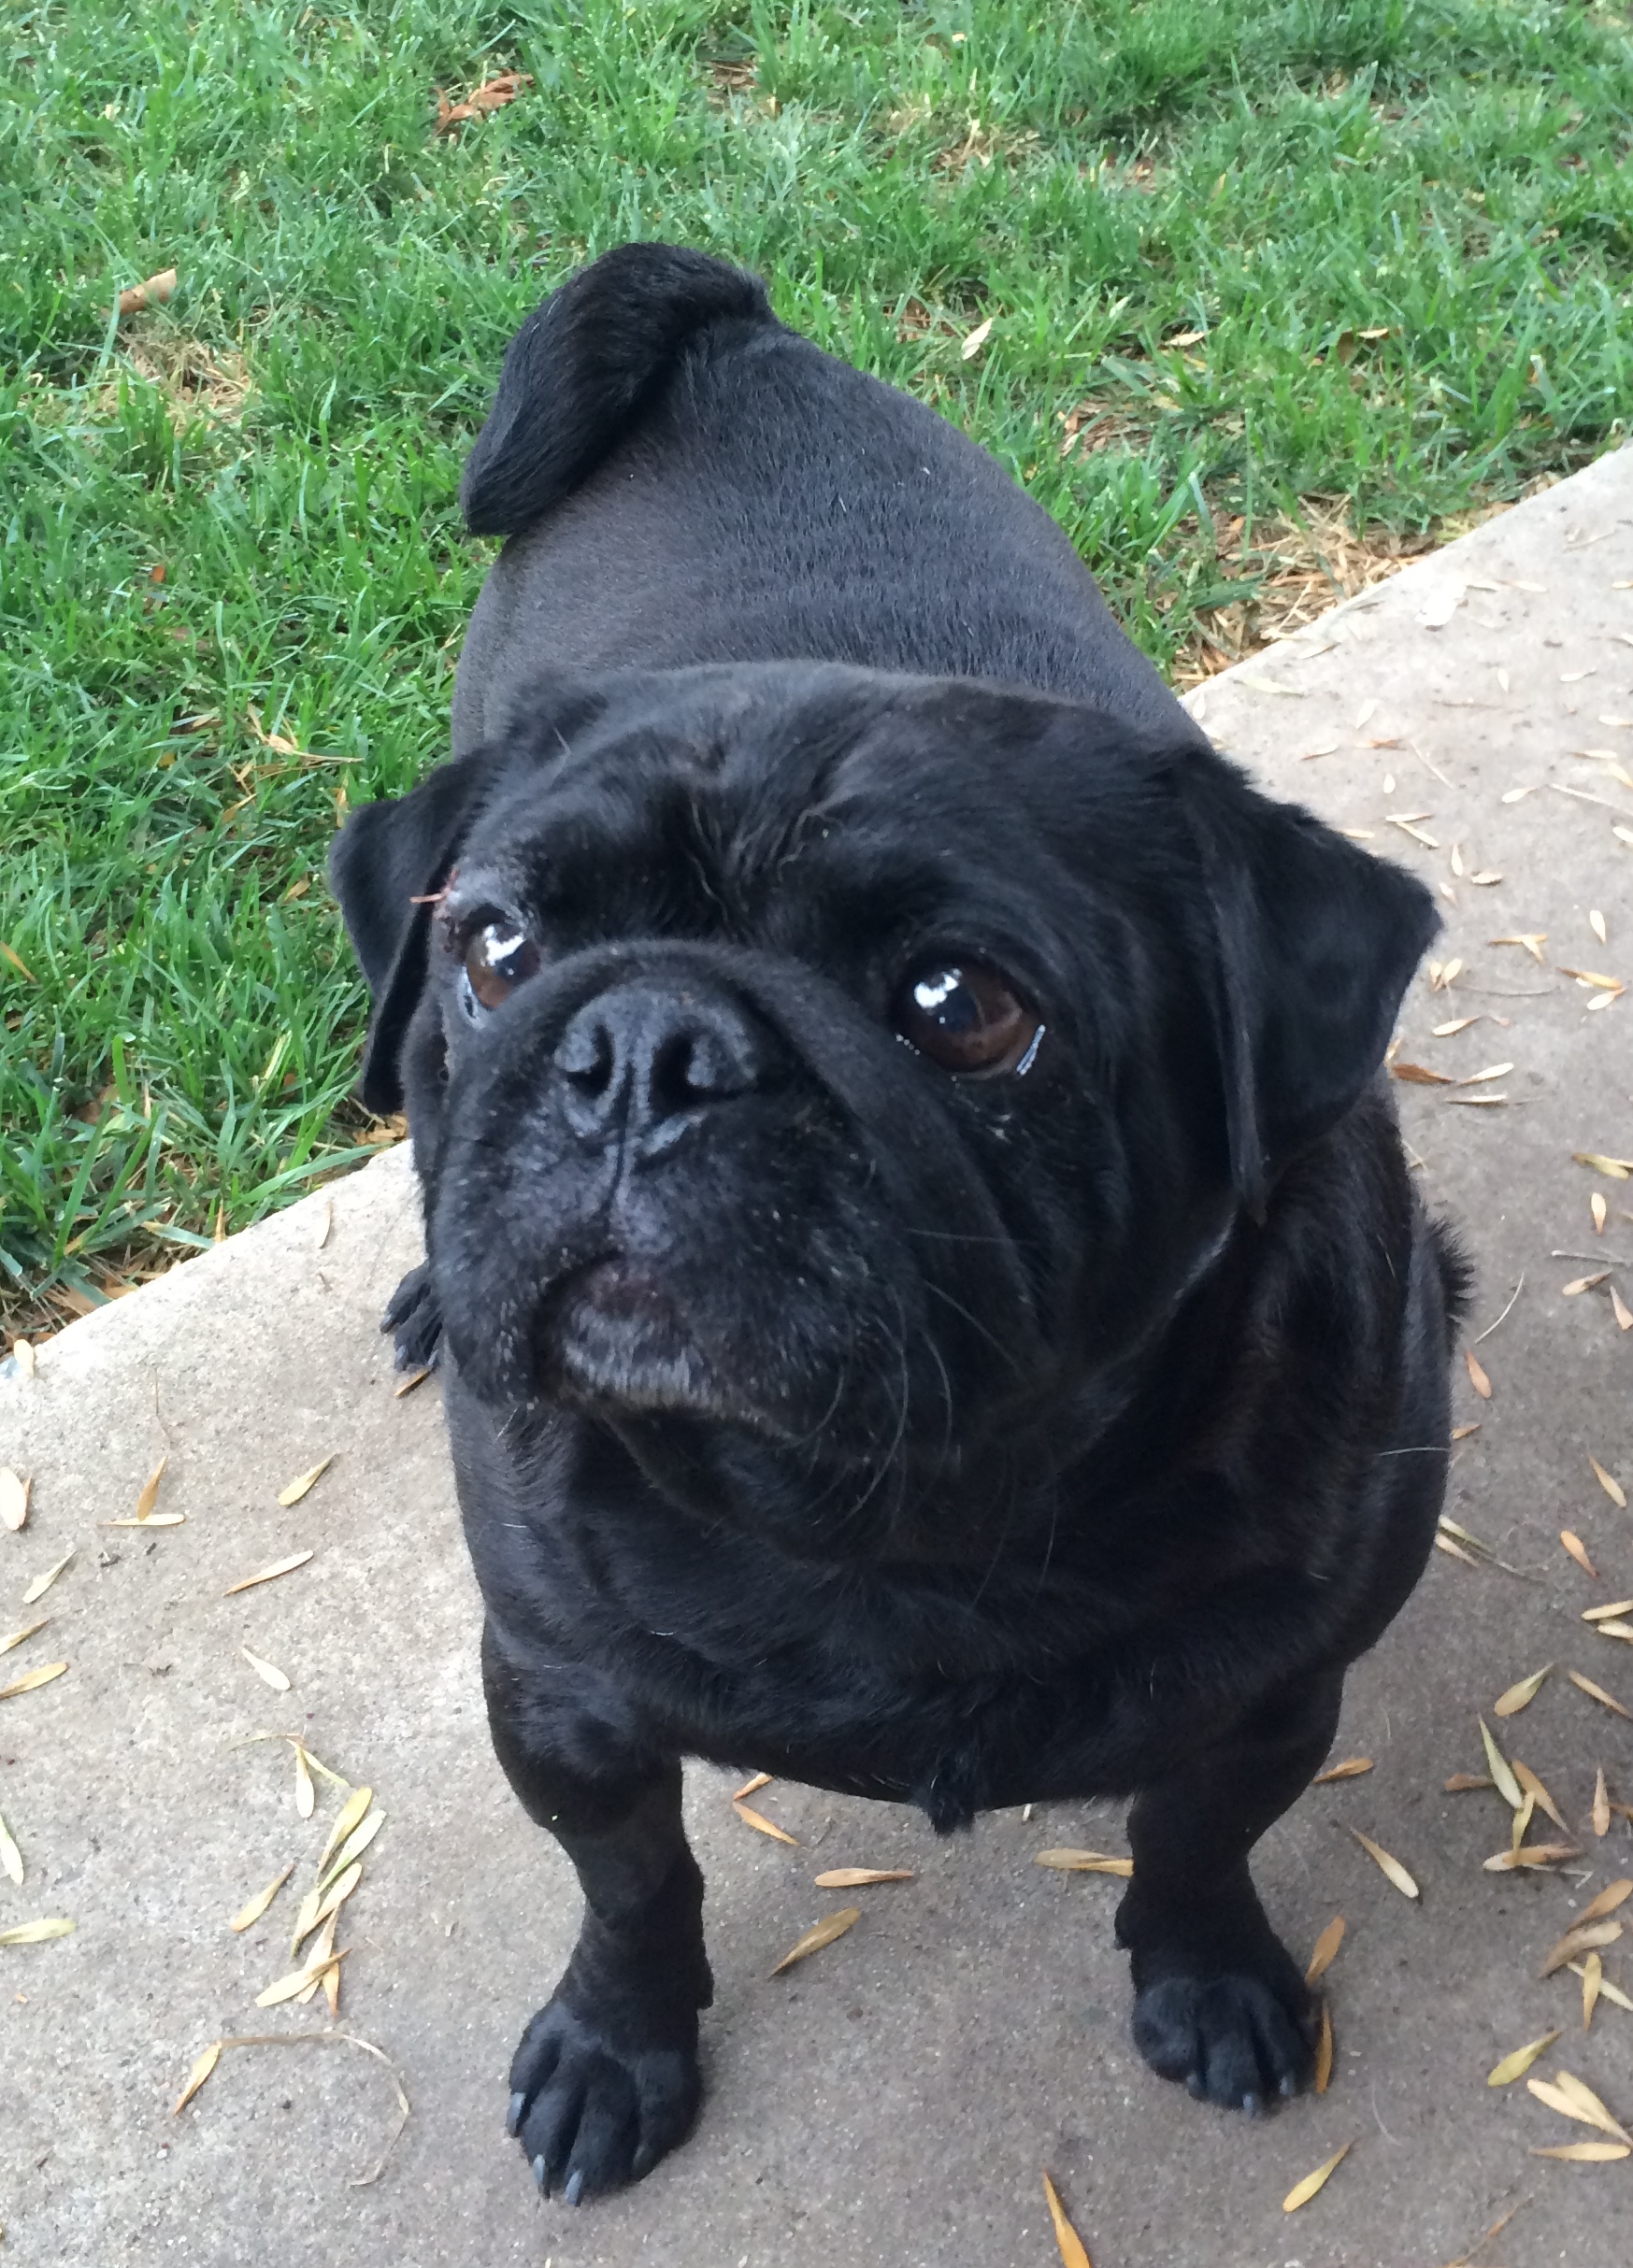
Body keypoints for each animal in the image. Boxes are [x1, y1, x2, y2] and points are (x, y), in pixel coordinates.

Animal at [329, 243, 1466, 2206]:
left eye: (962, 1004)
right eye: (498, 946)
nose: (646, 1047)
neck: (894, 1522)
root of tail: (732, 339)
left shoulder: (1273, 1688)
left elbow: (1197, 1838)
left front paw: (1207, 1976)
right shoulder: (562, 1696)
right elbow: (631, 1885)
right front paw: (616, 2047)